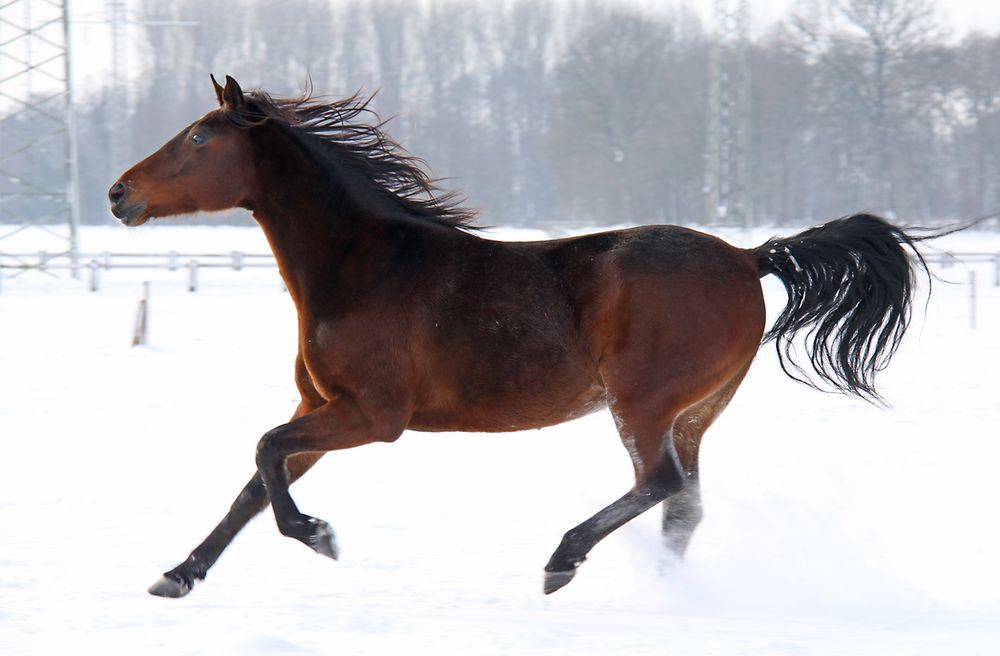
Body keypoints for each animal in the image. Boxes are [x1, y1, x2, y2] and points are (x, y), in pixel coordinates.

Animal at [111, 75, 944, 600]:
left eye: (198, 136)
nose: (119, 193)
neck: (363, 264)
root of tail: (749, 256)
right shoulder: (323, 408)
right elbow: (253, 485)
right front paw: (177, 575)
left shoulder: (373, 417)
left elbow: (264, 456)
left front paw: (318, 534)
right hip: (696, 412)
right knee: (684, 505)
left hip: (642, 403)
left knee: (659, 485)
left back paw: (562, 560)